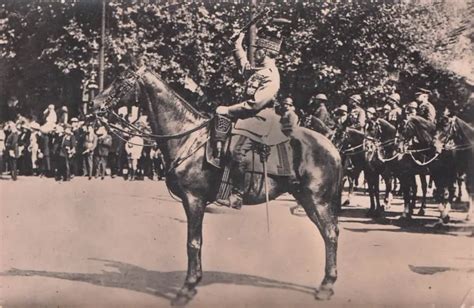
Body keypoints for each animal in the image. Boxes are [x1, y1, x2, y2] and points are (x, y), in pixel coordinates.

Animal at [92, 62, 342, 306]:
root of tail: (332, 147)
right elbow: (195, 242)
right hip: (306, 199)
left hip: (317, 200)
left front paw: (187, 288)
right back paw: (326, 283)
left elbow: (193, 242)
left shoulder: (194, 199)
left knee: (330, 233)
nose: (95, 104)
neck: (187, 138)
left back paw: (326, 287)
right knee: (328, 232)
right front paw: (193, 283)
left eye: (121, 80)